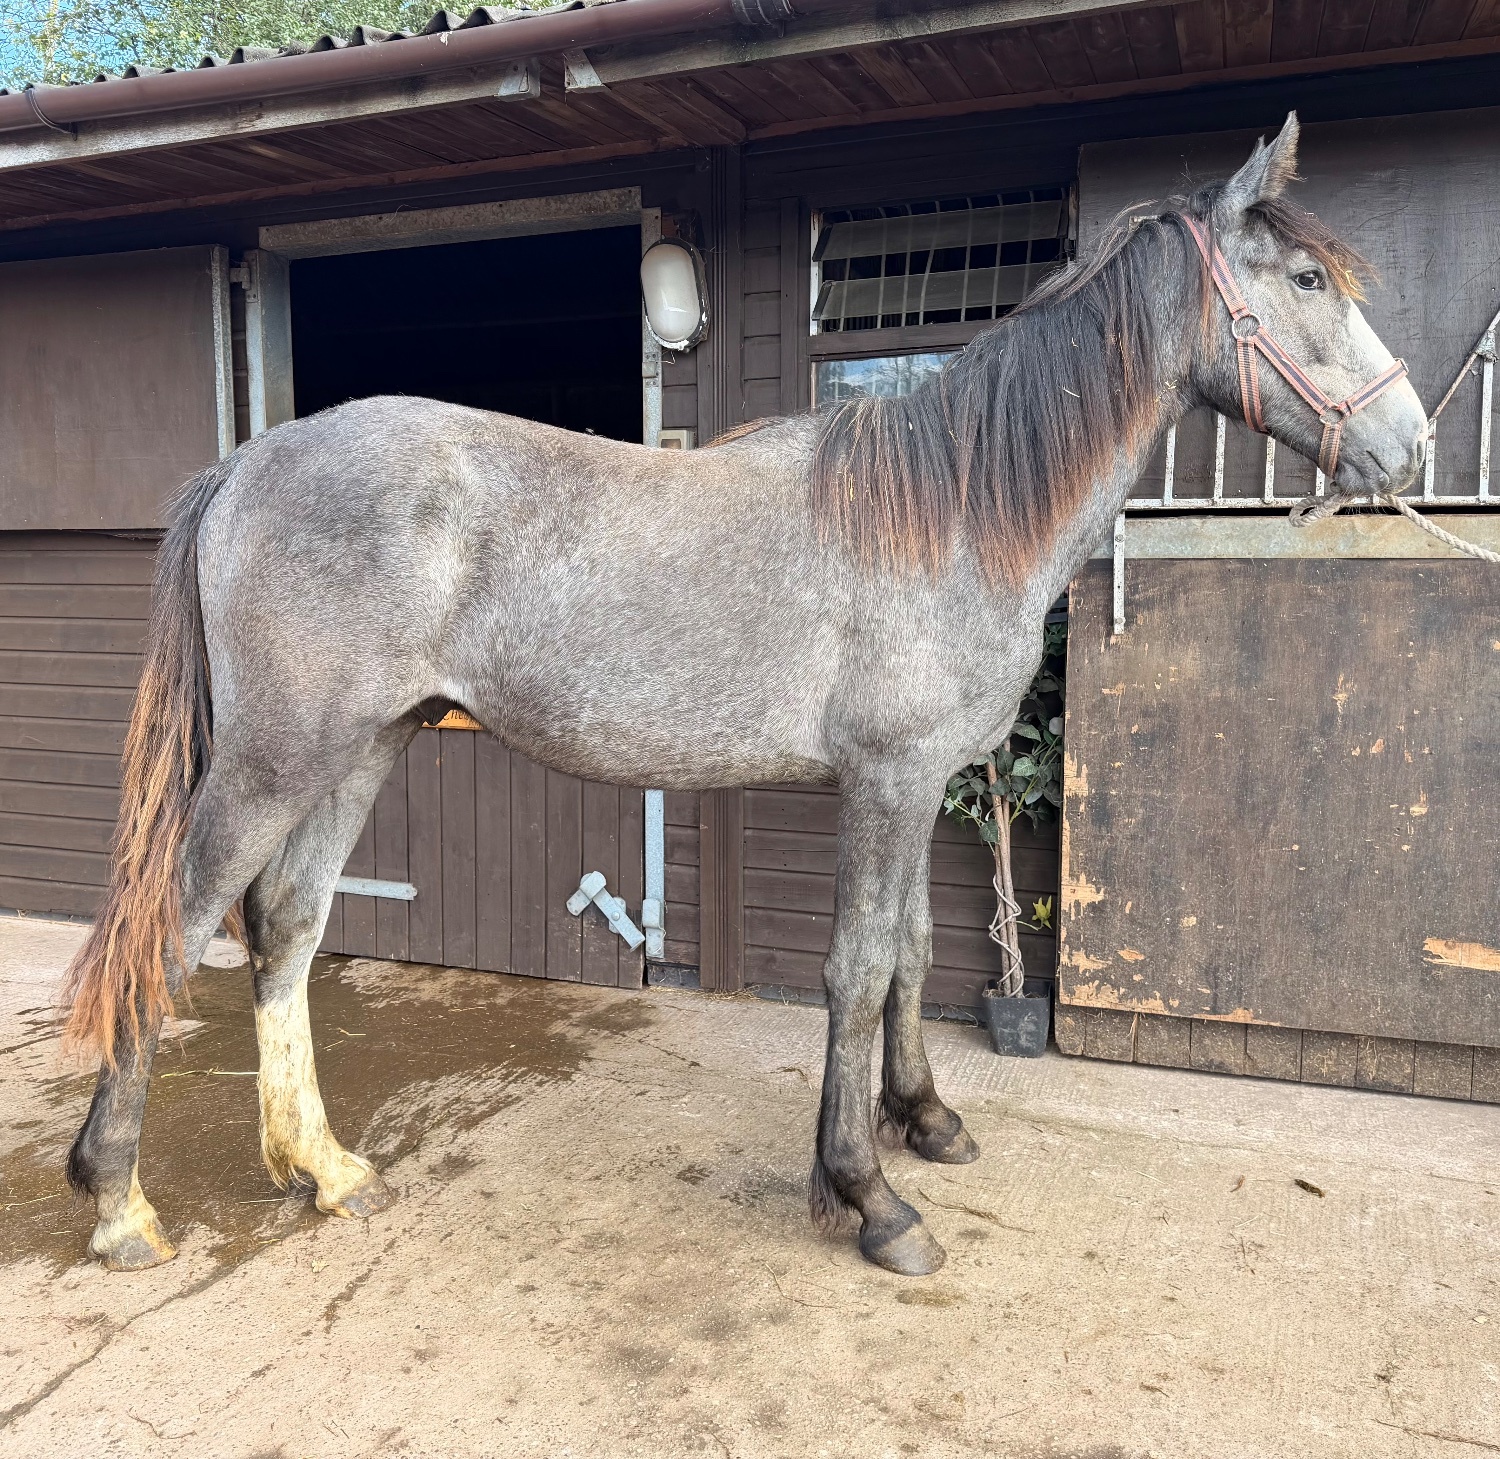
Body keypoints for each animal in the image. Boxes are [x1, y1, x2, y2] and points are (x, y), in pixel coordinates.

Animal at [62, 113, 1426, 1277]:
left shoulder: (915, 784)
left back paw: (323, 1167)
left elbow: (915, 950)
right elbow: (859, 970)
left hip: (363, 748)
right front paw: (871, 1196)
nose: (1408, 445)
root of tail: (248, 461)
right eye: (1306, 284)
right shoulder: (887, 780)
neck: (949, 513)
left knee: (287, 925)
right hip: (274, 759)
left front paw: (927, 1118)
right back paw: (119, 1201)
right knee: (173, 927)